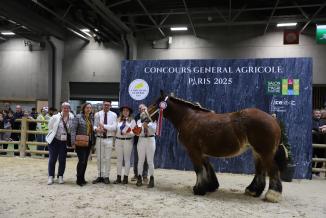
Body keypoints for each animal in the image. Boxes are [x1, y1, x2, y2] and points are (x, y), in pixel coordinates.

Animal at [148, 90, 288, 203]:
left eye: (155, 104)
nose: (144, 116)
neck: (189, 118)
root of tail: (273, 119)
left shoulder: (193, 151)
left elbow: (199, 169)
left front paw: (199, 189)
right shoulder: (202, 152)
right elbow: (208, 168)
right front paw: (211, 186)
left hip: (265, 152)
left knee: (273, 170)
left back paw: (272, 195)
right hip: (257, 152)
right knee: (260, 171)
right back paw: (253, 191)